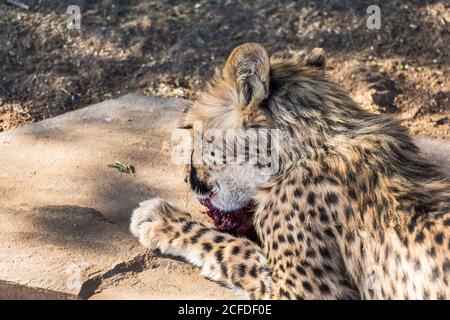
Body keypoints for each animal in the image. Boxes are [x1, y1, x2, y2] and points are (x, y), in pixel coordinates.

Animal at [128, 43, 448, 300]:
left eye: (192, 131)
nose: (189, 181)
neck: (311, 143)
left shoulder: (310, 293)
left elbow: (236, 248)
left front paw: (162, 219)